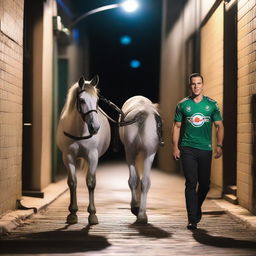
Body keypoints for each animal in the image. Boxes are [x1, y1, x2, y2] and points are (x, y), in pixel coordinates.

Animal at [56, 75, 110, 225]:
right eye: (82, 100)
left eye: (97, 101)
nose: (95, 127)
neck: (80, 132)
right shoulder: (68, 157)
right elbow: (72, 182)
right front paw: (72, 213)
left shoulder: (92, 156)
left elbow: (91, 182)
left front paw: (92, 215)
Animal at [119, 95, 163, 223]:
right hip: (143, 152)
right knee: (142, 180)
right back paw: (141, 212)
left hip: (134, 152)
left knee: (137, 180)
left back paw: (138, 210)